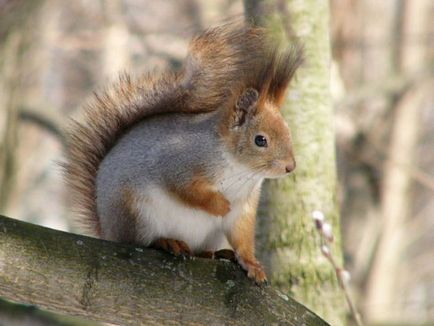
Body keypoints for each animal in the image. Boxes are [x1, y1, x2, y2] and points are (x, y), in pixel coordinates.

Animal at [63, 22, 302, 282]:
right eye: (260, 140)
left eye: (289, 131)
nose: (290, 167)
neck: (238, 169)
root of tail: (108, 231)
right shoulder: (177, 162)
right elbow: (185, 189)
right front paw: (220, 205)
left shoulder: (245, 206)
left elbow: (242, 236)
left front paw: (251, 263)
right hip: (136, 213)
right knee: (141, 241)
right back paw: (168, 242)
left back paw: (216, 253)